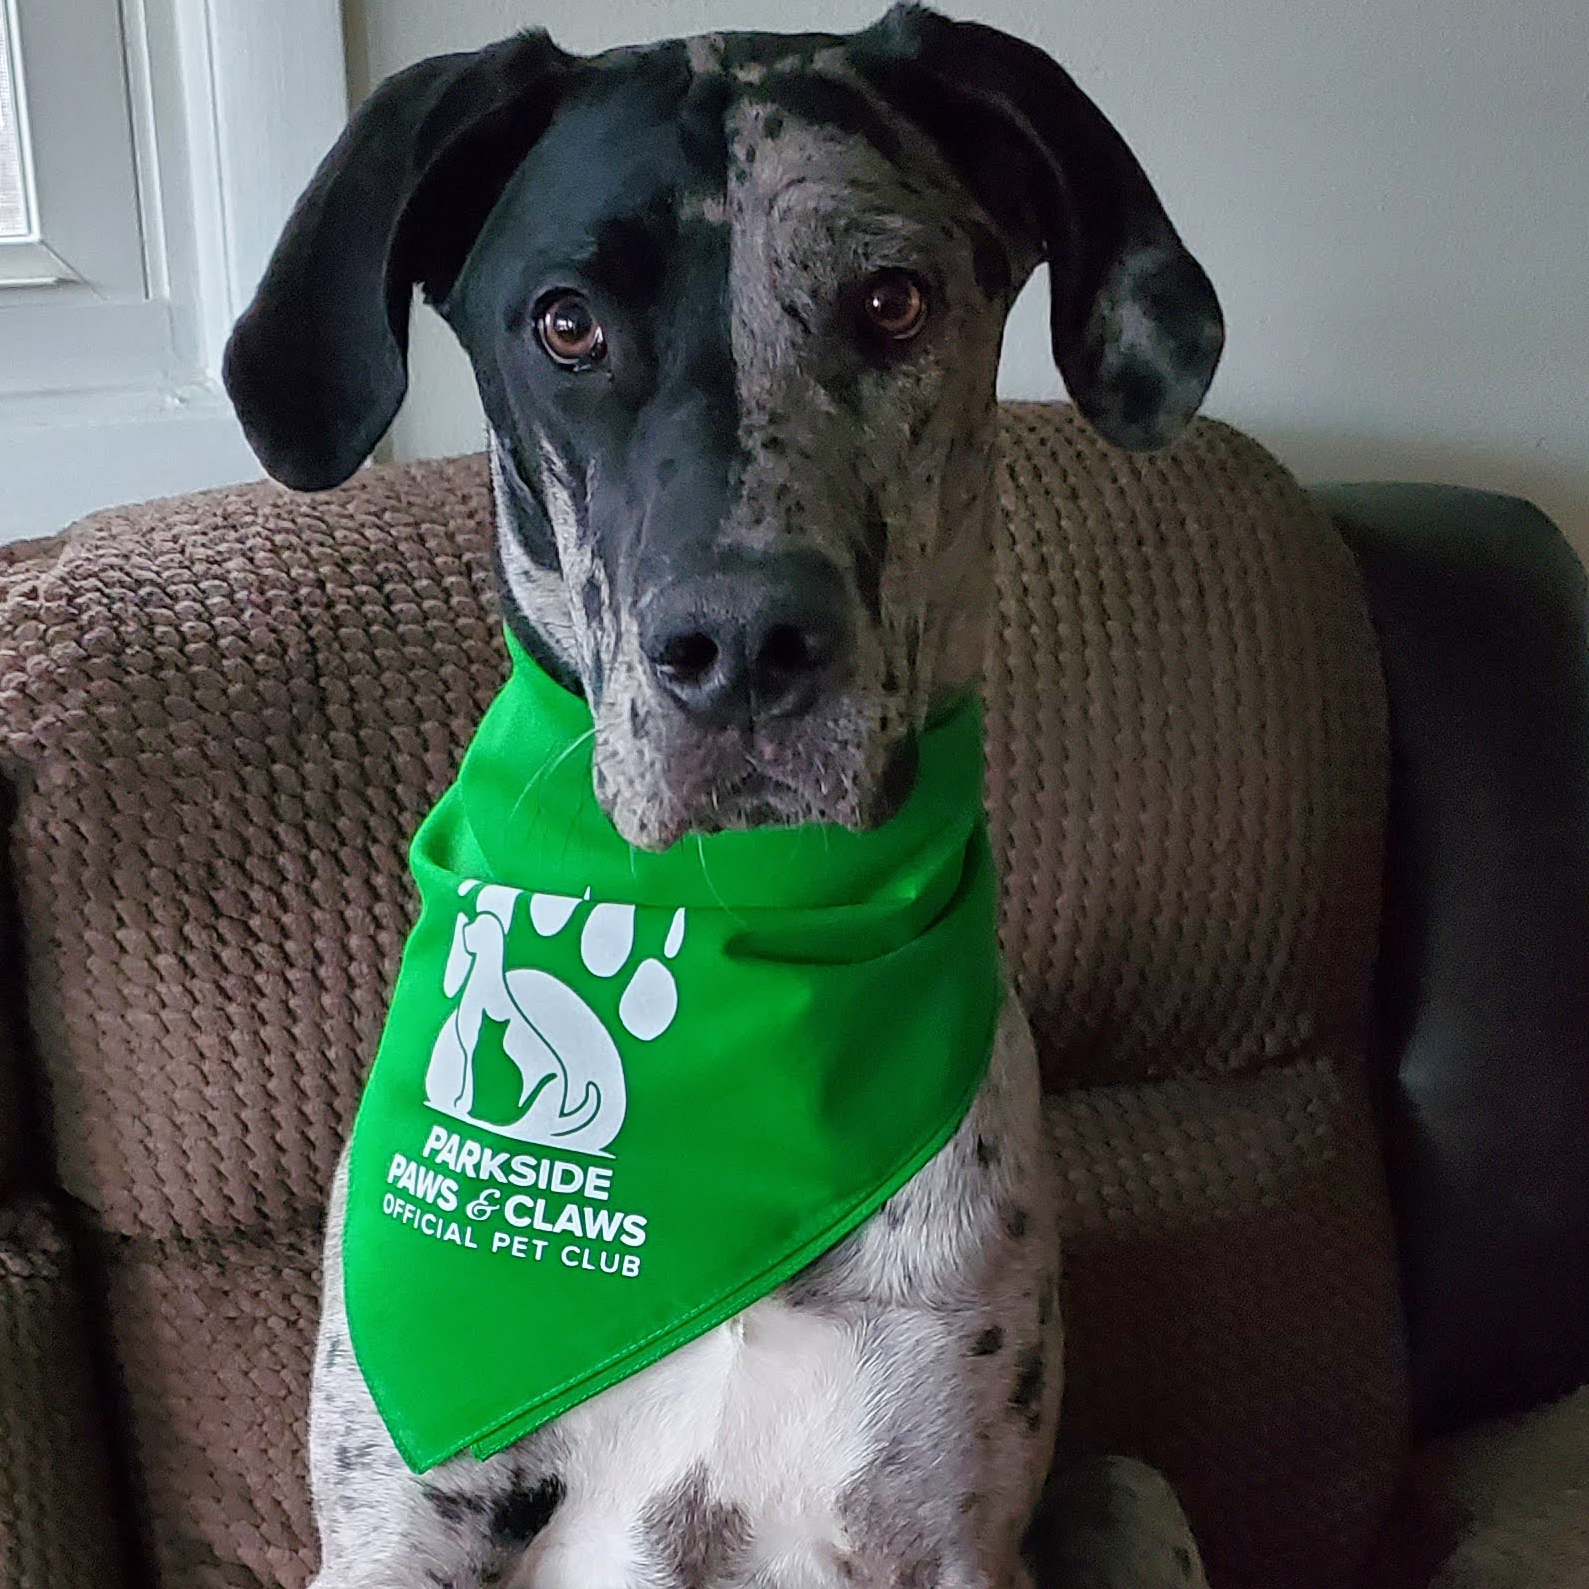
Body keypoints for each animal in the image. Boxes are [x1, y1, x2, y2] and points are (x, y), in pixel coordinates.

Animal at [224, 6, 1220, 1582]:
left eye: (892, 301)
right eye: (566, 323)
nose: (743, 645)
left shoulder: (944, 1523)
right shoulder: (399, 1527)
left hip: (1128, 1486)